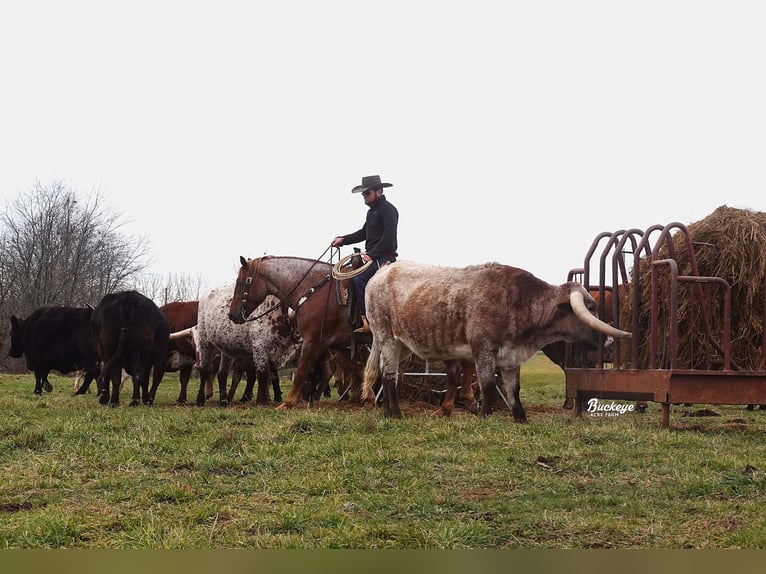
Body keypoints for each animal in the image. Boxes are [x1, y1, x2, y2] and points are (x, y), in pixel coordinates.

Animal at [230, 255, 358, 410]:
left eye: (240, 282)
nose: (231, 314)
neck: (314, 289)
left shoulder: (313, 341)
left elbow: (301, 373)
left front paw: (287, 403)